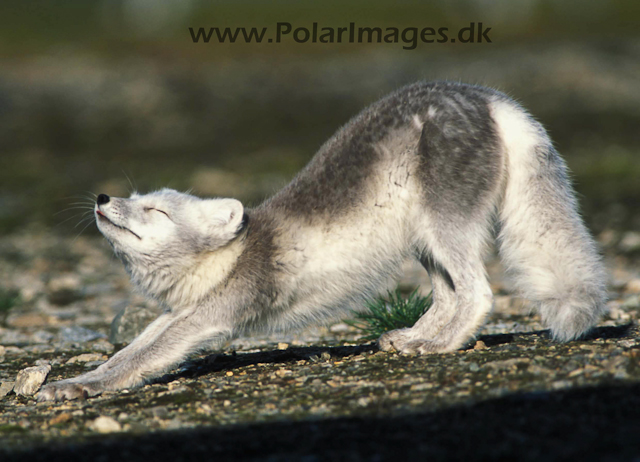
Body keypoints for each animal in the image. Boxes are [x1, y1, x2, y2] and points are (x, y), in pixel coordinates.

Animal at [38, 82, 604, 400]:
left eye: (154, 210)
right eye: (135, 197)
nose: (103, 197)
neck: (224, 261)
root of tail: (489, 97)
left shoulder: (215, 311)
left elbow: (143, 357)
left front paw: (80, 387)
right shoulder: (178, 312)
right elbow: (130, 349)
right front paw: (78, 378)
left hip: (445, 224)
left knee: (479, 293)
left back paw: (440, 345)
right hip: (421, 238)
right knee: (449, 293)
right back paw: (413, 338)